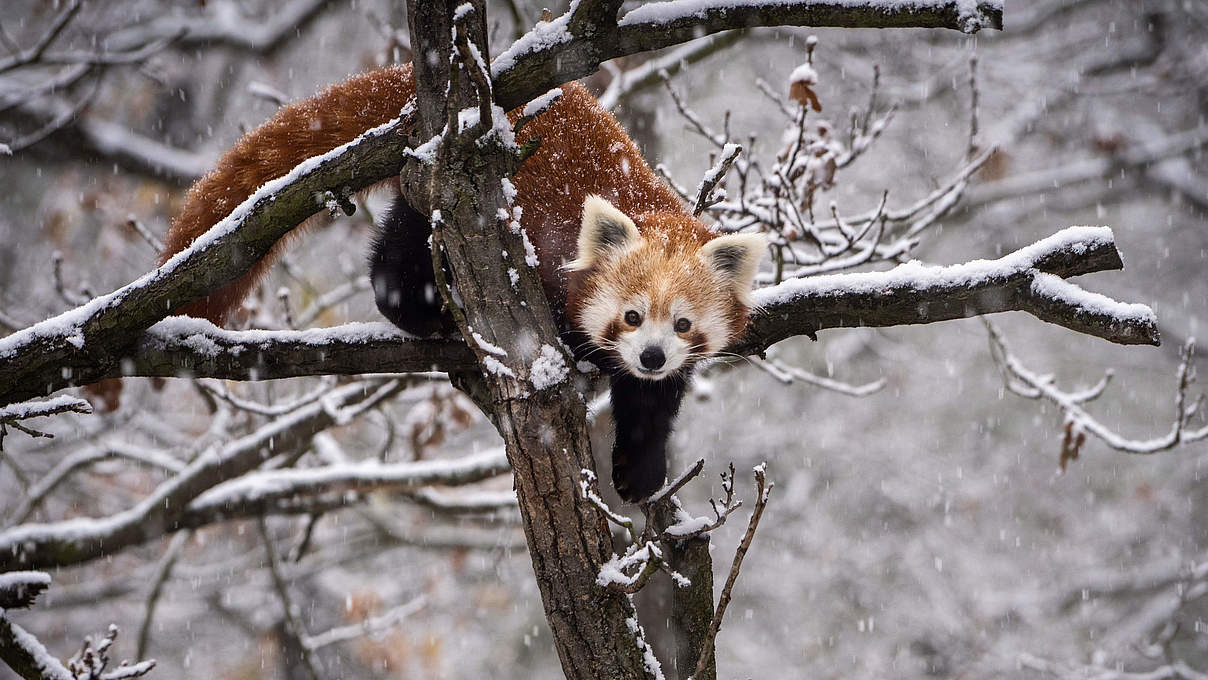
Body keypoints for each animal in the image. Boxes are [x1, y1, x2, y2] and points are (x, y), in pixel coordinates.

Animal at [158, 62, 763, 500]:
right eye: (631, 315)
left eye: (682, 324)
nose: (652, 355)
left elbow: (653, 402)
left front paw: (640, 466)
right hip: (439, 183)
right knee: (403, 248)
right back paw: (420, 309)